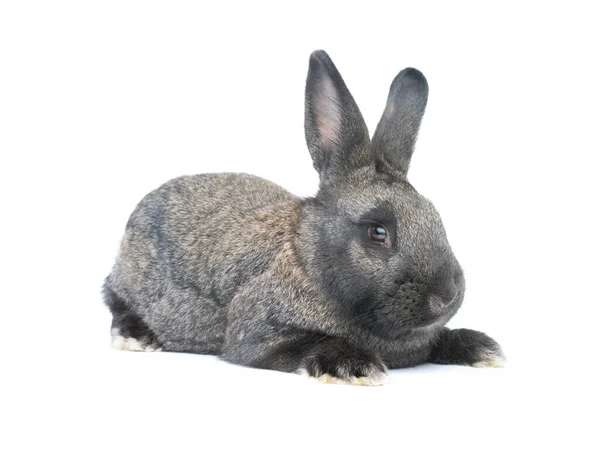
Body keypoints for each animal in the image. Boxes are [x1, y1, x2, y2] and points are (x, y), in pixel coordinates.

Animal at [104, 51, 506, 386]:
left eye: (436, 217)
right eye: (378, 232)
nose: (444, 297)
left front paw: (484, 350)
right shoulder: (257, 332)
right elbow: (304, 344)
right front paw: (355, 366)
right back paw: (137, 336)